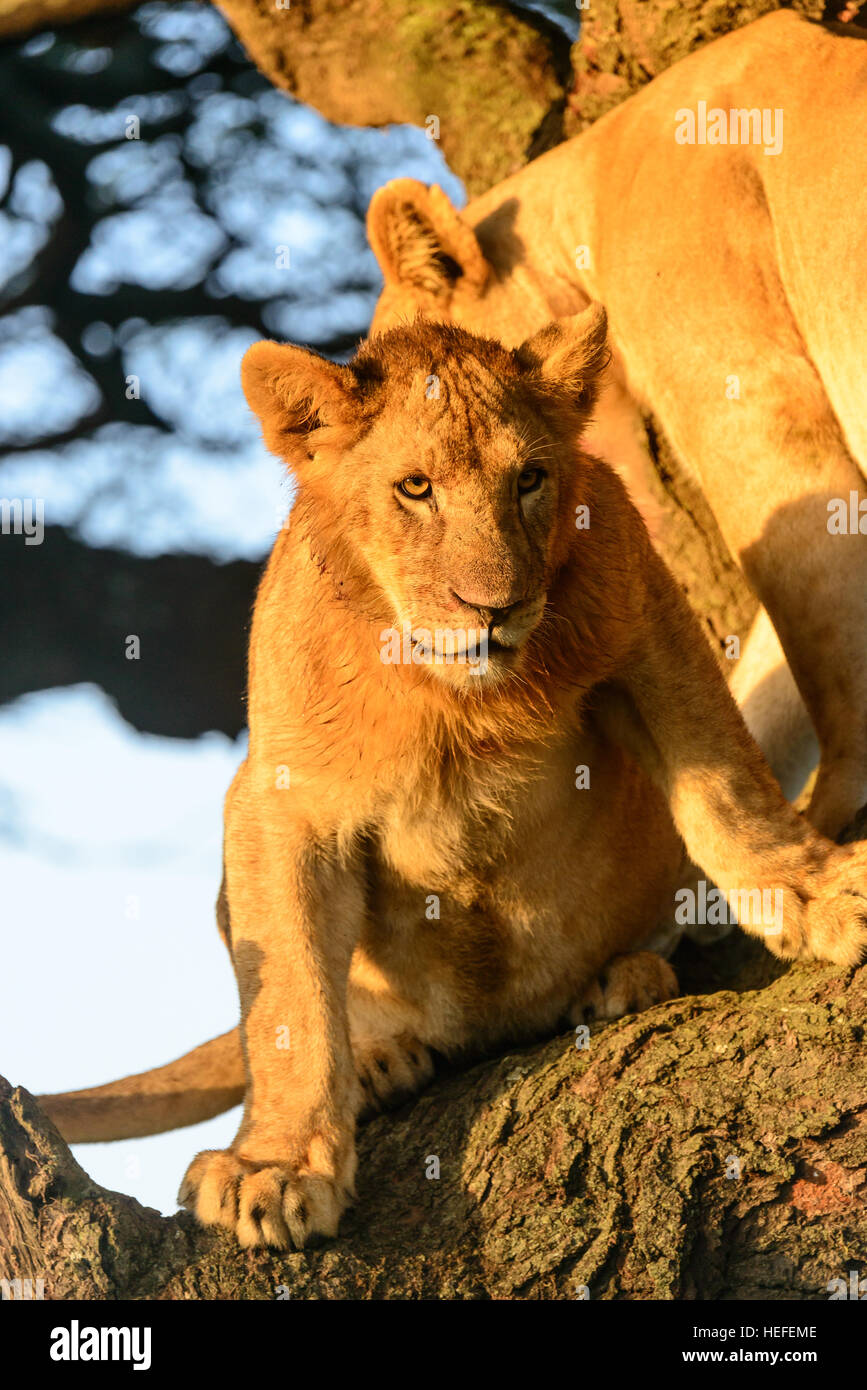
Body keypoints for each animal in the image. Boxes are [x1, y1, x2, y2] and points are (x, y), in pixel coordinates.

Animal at [40, 306, 867, 1249]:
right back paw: (380, 1063)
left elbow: (724, 781)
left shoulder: (649, 630)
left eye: (530, 479)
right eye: (415, 488)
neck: (449, 695)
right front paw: (274, 1168)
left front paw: (816, 893)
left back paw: (620, 981)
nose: (493, 609)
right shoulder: (278, 793)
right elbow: (287, 995)